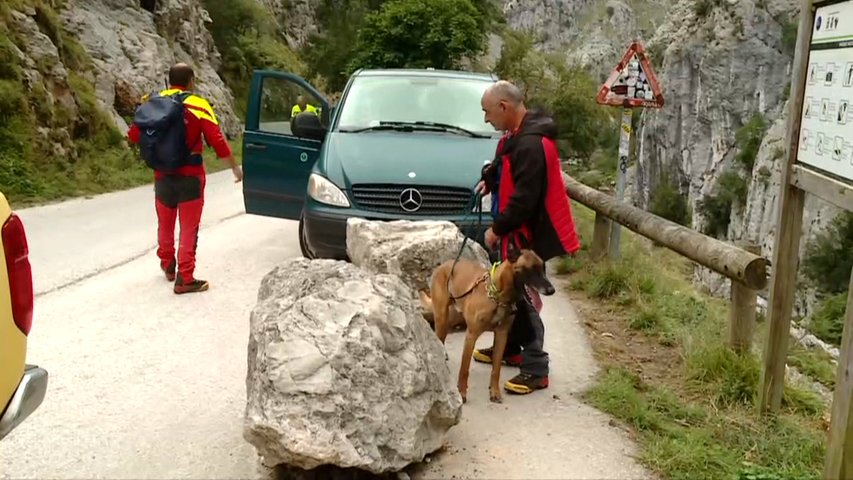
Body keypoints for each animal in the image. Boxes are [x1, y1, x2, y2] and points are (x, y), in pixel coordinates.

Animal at [418, 242, 552, 404]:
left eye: (543, 268)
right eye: (531, 269)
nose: (551, 290)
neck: (499, 297)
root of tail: (444, 264)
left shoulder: (501, 335)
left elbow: (496, 369)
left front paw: (494, 391)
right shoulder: (471, 336)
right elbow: (464, 370)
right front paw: (461, 393)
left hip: (449, 317)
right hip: (441, 317)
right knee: (439, 337)